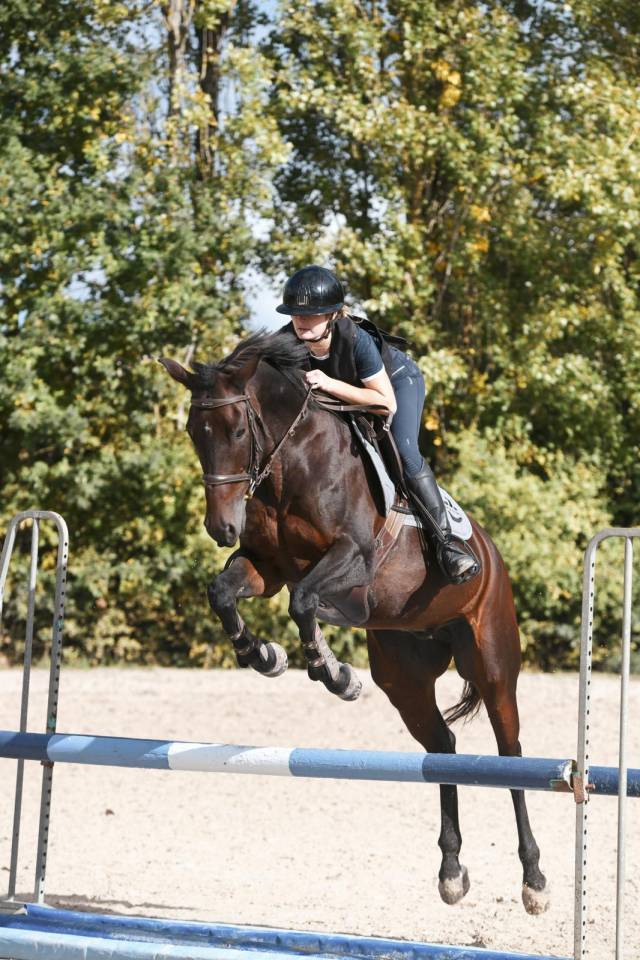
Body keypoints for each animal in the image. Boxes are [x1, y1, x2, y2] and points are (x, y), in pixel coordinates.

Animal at [160, 329, 548, 916]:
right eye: (192, 432)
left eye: (236, 430)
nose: (221, 528)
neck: (290, 464)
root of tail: (492, 555)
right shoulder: (267, 567)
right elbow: (224, 593)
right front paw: (264, 655)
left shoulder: (352, 561)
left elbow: (303, 603)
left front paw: (333, 672)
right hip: (404, 677)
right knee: (443, 748)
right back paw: (451, 871)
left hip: (493, 662)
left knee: (511, 755)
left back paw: (533, 880)